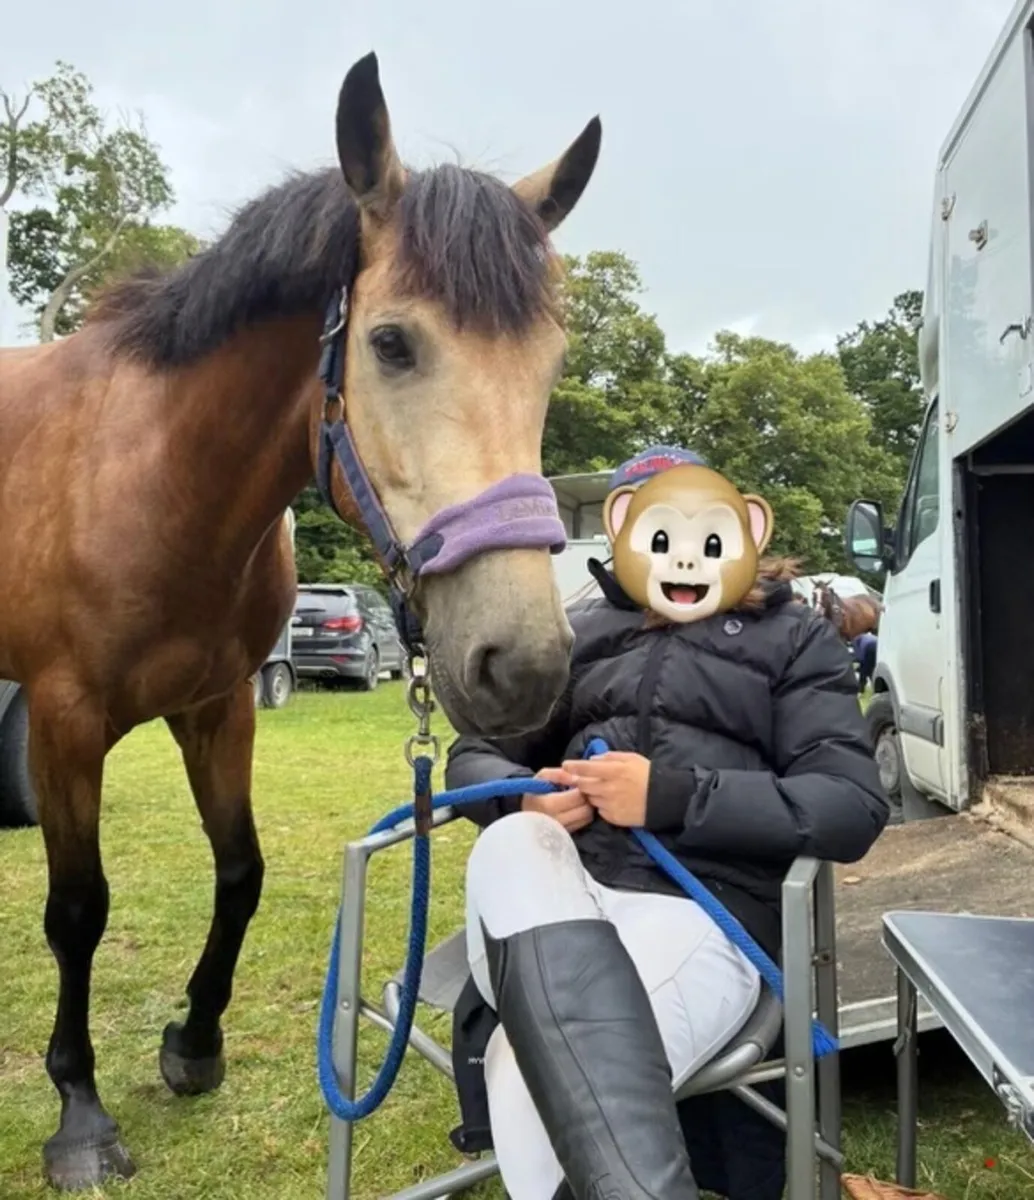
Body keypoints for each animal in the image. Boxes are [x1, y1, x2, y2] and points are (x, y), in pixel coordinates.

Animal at [0, 53, 601, 1191]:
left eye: (550, 362)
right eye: (391, 343)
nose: (525, 664)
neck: (153, 481)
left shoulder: (219, 706)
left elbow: (241, 872)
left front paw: (194, 1043)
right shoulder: (62, 723)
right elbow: (78, 910)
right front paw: (81, 1112)